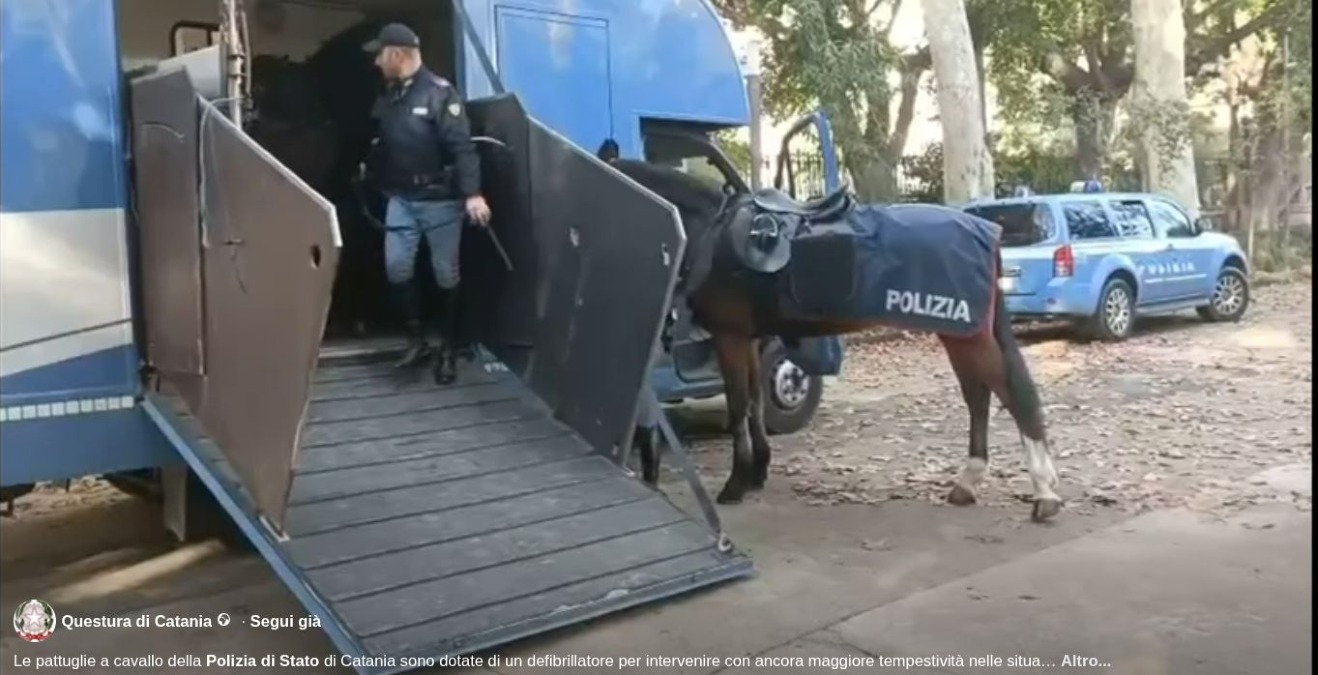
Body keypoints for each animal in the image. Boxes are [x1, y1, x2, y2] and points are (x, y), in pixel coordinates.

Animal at [609, 159, 1063, 522]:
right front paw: (757, 473)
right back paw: (969, 482)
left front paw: (736, 484)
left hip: (967, 334)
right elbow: (754, 404)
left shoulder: (731, 338)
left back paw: (1044, 494)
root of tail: (986, 231)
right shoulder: (752, 340)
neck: (713, 234)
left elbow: (738, 406)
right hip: (959, 331)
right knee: (978, 397)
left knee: (1010, 394)